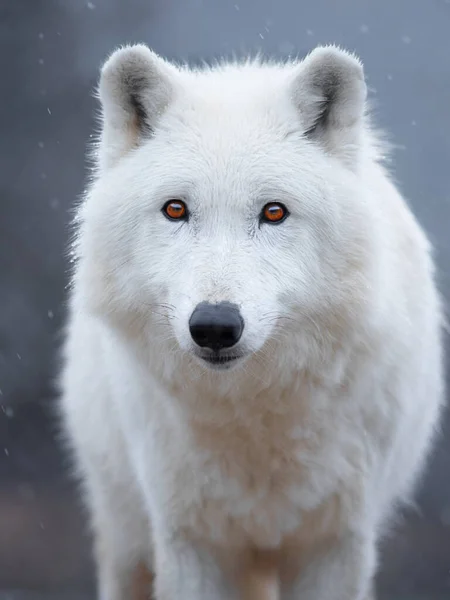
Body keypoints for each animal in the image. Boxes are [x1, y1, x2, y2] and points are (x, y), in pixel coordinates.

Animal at [60, 43, 446, 600]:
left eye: (274, 212)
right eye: (175, 209)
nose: (215, 326)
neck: (254, 416)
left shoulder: (336, 544)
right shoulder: (189, 541)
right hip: (127, 538)